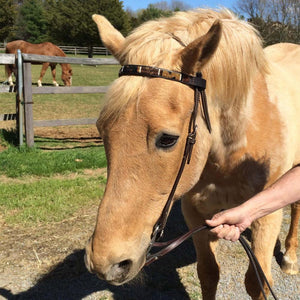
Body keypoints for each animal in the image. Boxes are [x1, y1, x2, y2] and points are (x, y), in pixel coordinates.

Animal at [85, 8, 300, 298]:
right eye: (102, 129)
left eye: (168, 139)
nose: (106, 263)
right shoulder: (195, 213)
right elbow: (208, 273)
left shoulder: (267, 215)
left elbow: (257, 282)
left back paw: (290, 257)